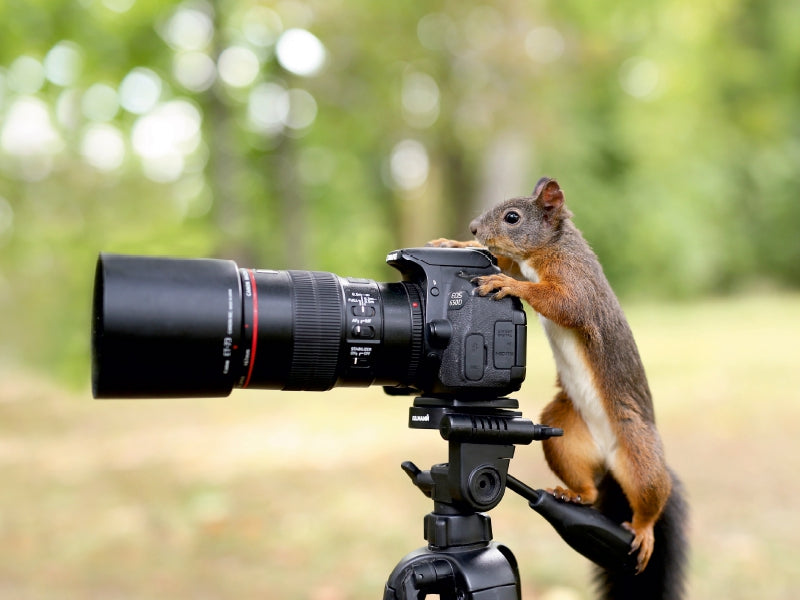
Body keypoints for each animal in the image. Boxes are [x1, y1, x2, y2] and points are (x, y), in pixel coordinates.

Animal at [432, 179, 688, 600]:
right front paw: (453, 245)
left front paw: (506, 283)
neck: (546, 249)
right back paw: (575, 494)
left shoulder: (574, 280)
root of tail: (608, 461)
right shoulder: (521, 260)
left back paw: (644, 528)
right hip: (564, 432)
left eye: (512, 217)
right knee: (591, 493)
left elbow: (562, 302)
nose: (473, 228)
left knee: (651, 493)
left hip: (638, 449)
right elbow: (504, 261)